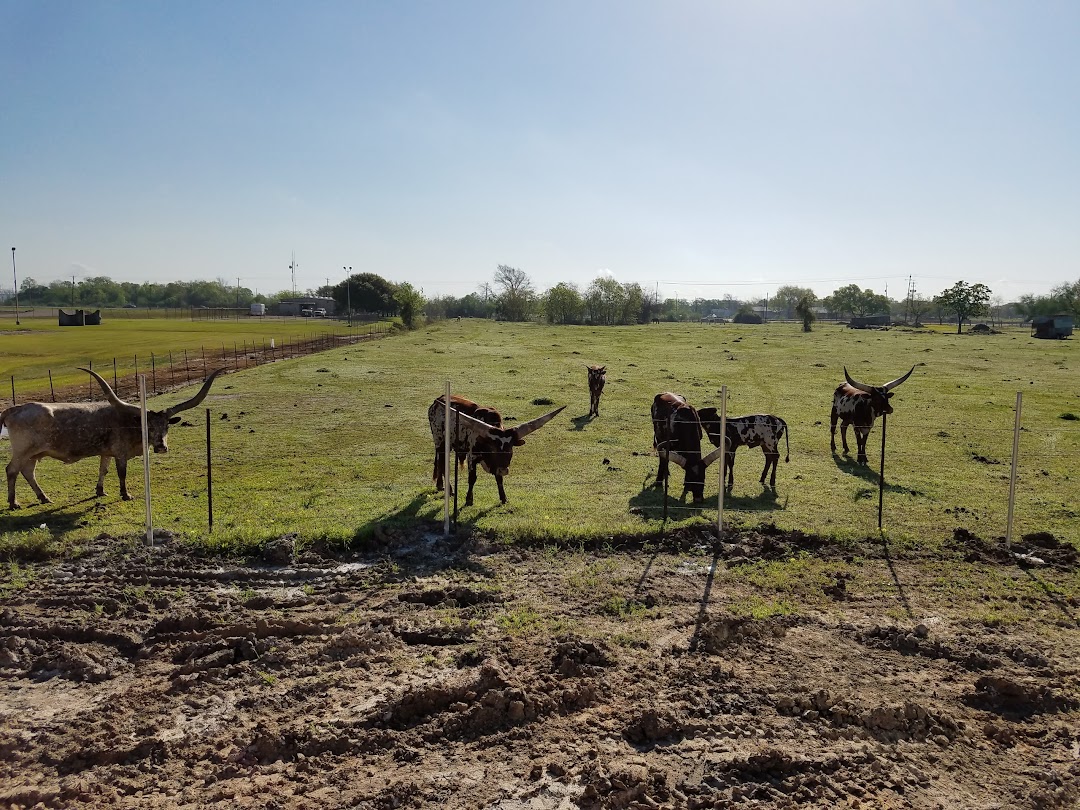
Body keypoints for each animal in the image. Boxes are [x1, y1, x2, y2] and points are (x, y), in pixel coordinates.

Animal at [2, 369, 224, 509]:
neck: (129, 422)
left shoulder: (106, 452)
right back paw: (14, 503)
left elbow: (103, 470)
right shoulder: (120, 453)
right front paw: (125, 494)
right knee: (12, 470)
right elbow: (121, 473)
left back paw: (44, 498)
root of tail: (14, 409)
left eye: (167, 425)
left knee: (28, 472)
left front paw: (100, 491)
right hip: (23, 451)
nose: (161, 447)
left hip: (33, 454)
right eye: (149, 426)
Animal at [429, 395, 565, 507]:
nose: (504, 470)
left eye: (510, 450)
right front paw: (469, 500)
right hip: (440, 441)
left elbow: (499, 479)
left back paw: (440, 485)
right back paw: (450, 490)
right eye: (493, 449)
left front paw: (504, 498)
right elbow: (472, 478)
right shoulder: (471, 456)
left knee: (439, 462)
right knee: (442, 463)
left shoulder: (498, 465)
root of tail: (437, 401)